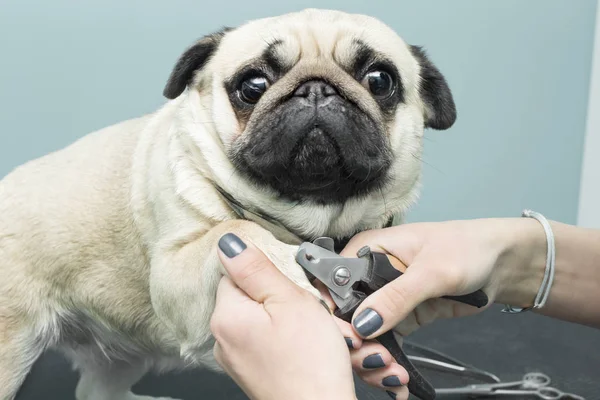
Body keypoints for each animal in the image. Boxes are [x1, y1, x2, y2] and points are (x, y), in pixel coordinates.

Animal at [0, 7, 454, 400]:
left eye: (380, 80)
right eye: (252, 86)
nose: (316, 89)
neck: (309, 217)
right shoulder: (174, 273)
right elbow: (234, 228)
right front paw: (286, 264)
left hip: (119, 359)